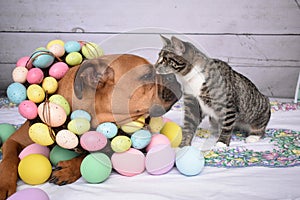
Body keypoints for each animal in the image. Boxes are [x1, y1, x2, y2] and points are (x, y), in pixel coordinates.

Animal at [0, 53, 180, 198]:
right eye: (147, 75)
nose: (173, 76)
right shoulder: (13, 140)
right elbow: (9, 159)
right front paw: (4, 184)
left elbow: (95, 152)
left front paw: (69, 168)